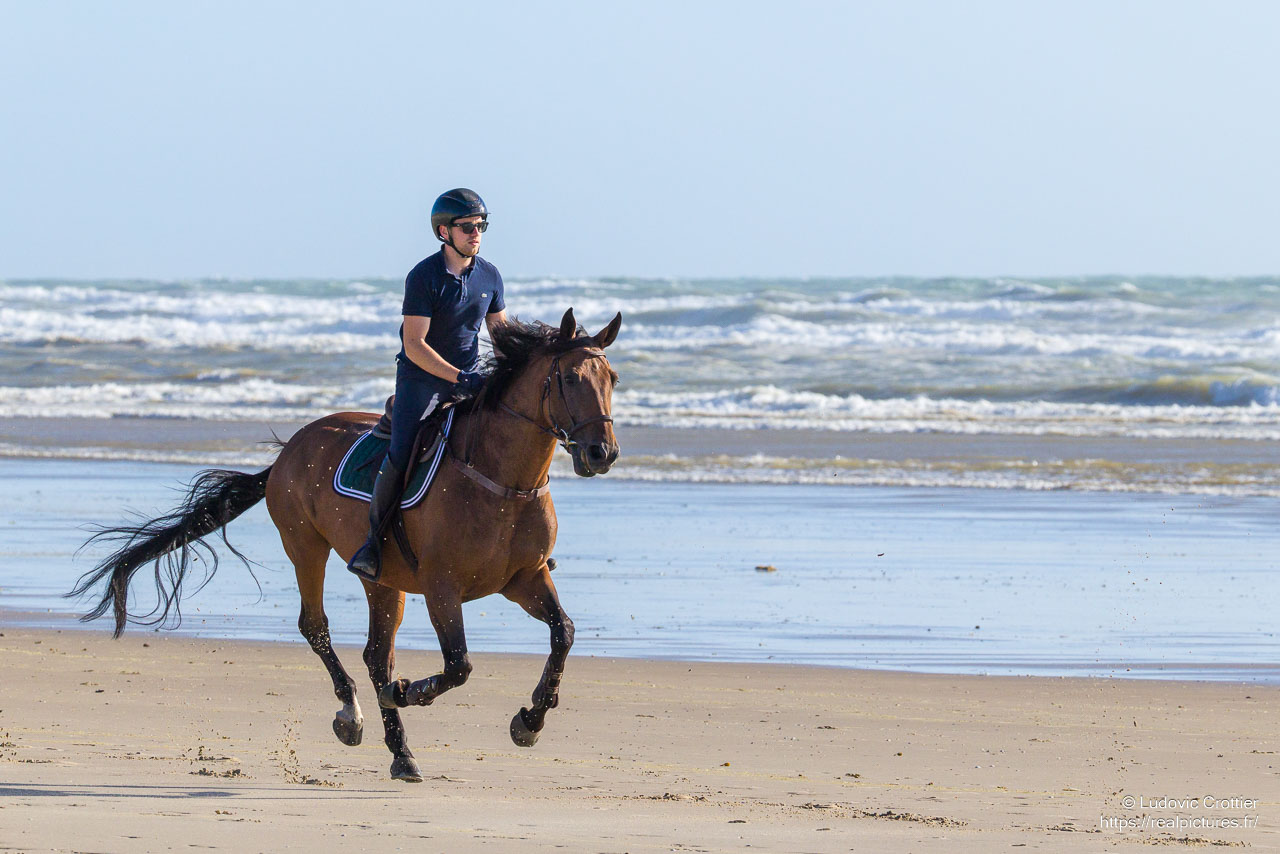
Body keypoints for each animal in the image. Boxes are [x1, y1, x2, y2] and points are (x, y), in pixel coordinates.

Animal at [70, 308, 622, 782]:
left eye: (612, 379)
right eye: (571, 379)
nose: (603, 453)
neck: (501, 480)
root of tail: (290, 449)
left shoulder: (525, 578)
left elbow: (563, 633)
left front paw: (529, 721)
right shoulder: (443, 588)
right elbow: (459, 665)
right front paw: (413, 690)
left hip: (385, 581)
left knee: (377, 656)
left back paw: (401, 753)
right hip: (304, 546)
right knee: (317, 629)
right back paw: (351, 715)